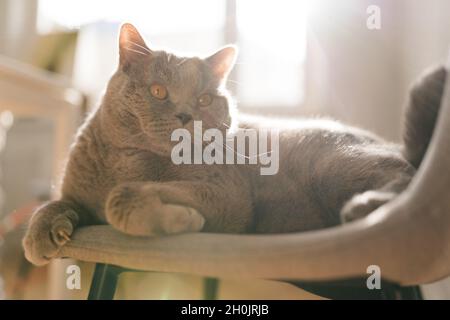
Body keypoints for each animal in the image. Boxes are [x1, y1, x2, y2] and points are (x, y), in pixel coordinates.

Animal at [23, 23, 446, 264]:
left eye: (204, 99)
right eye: (158, 91)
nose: (185, 114)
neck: (128, 160)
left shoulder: (227, 193)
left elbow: (121, 197)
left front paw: (180, 219)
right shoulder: (77, 193)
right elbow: (52, 204)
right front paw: (39, 237)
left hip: (339, 162)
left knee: (403, 178)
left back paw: (365, 207)